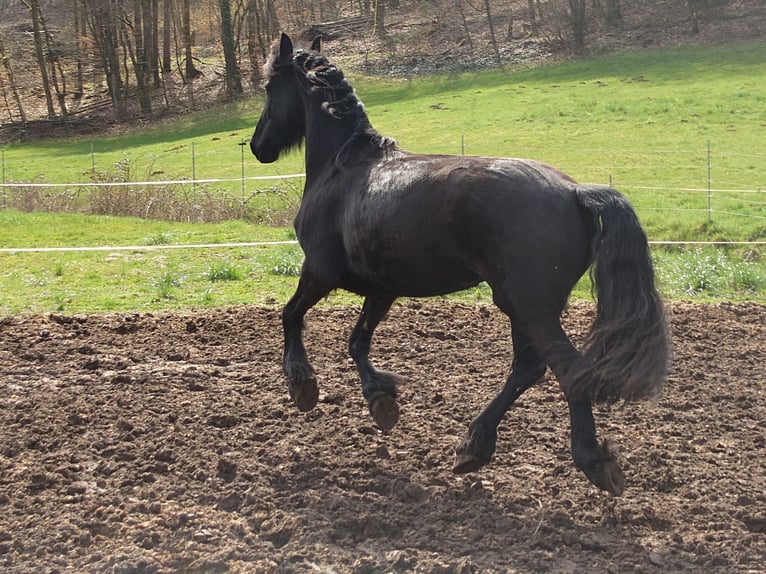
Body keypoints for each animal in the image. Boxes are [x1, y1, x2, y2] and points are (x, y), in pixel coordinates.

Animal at [250, 34, 671, 495]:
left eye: (269, 87)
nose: (258, 146)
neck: (341, 169)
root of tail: (576, 192)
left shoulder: (319, 272)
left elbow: (291, 315)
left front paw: (302, 383)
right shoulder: (382, 289)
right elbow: (357, 341)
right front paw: (380, 399)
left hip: (530, 307)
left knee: (566, 369)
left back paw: (592, 460)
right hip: (522, 306)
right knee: (528, 367)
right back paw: (474, 447)